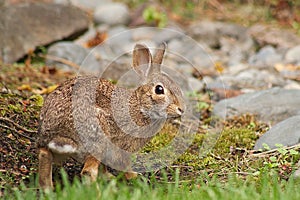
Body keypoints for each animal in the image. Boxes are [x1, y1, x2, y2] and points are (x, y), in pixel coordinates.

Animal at [36, 42, 184, 189]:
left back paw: (48, 189)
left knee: (44, 155)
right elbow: (124, 164)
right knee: (88, 172)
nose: (181, 109)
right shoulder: (123, 147)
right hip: (99, 139)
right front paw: (134, 177)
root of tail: (60, 133)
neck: (140, 106)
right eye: (159, 89)